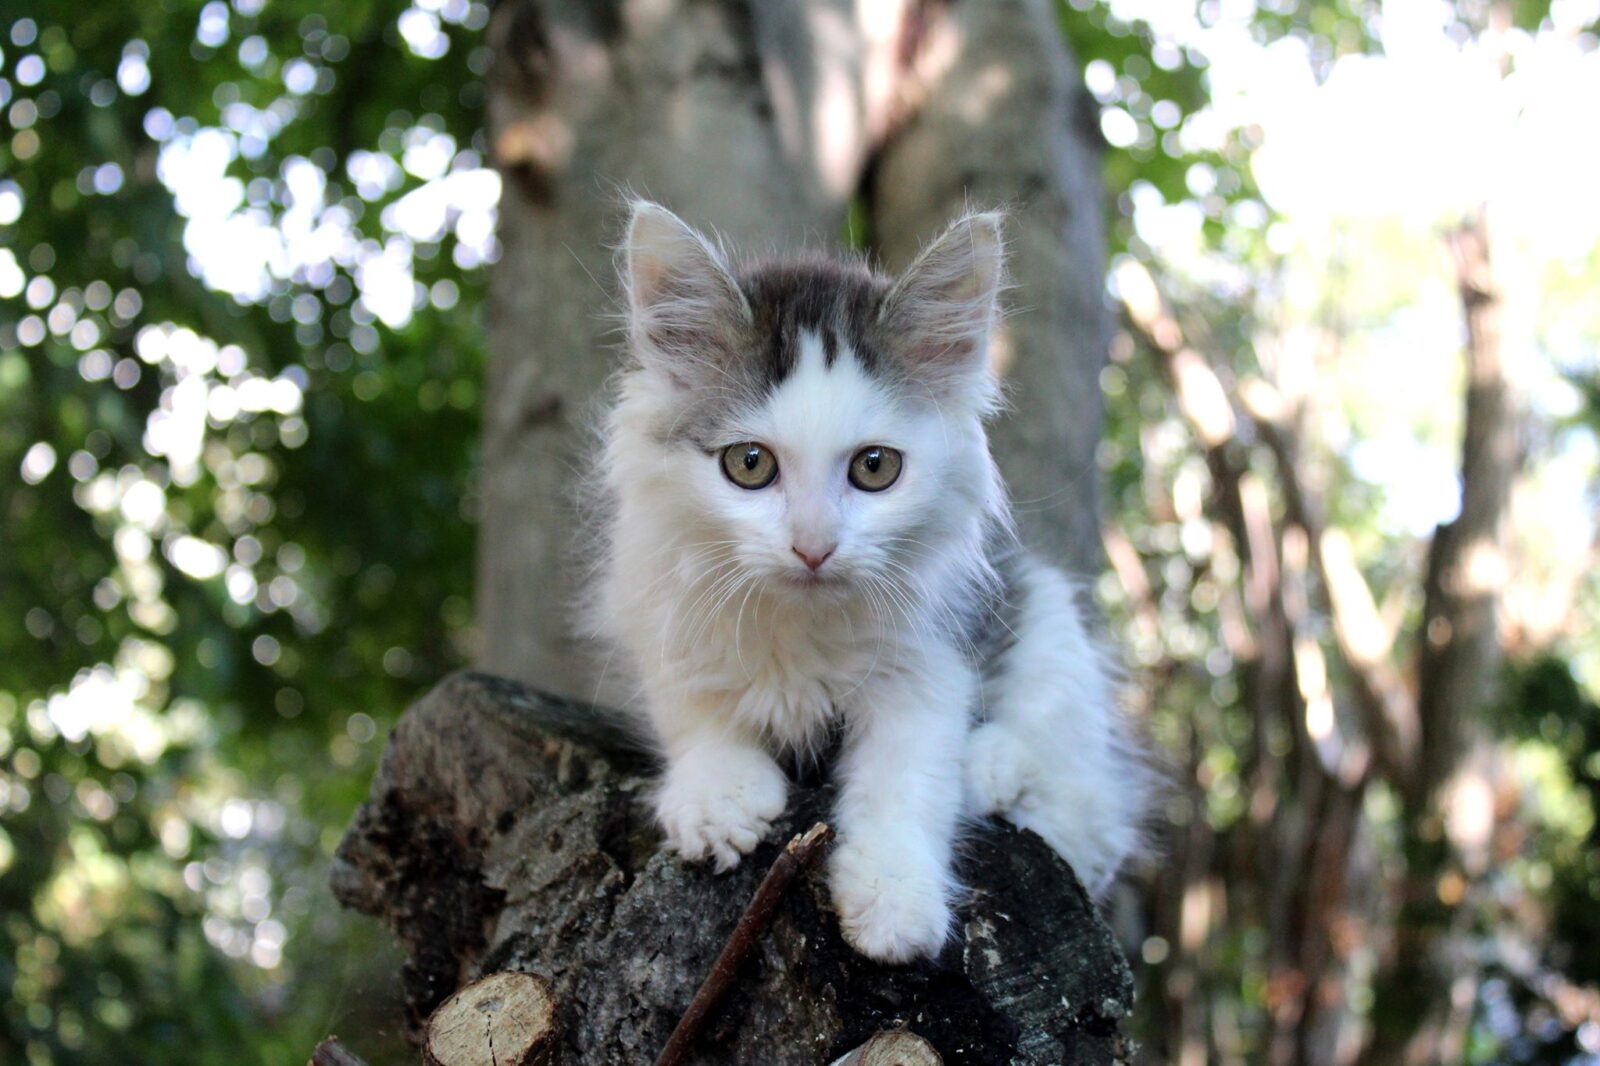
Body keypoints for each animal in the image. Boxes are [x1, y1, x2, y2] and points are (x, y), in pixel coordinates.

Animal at [584, 200, 1149, 963]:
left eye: (875, 467)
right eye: (750, 464)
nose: (813, 547)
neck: (798, 623)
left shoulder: (932, 653)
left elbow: (906, 778)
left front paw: (893, 898)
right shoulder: (660, 601)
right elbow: (692, 707)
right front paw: (716, 795)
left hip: (1048, 623)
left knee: (1086, 811)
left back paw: (992, 767)